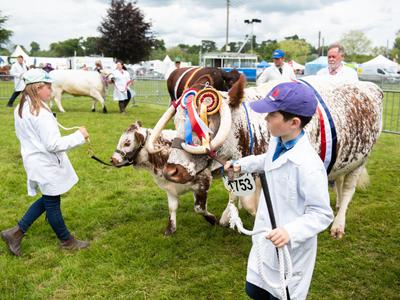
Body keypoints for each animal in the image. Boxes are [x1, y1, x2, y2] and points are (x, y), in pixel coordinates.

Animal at [145, 75, 382, 239]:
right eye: (176, 122)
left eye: (207, 124)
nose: (172, 171)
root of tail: (371, 86)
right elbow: (235, 196)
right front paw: (227, 216)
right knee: (339, 182)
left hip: (361, 160)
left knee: (349, 189)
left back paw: (338, 224)